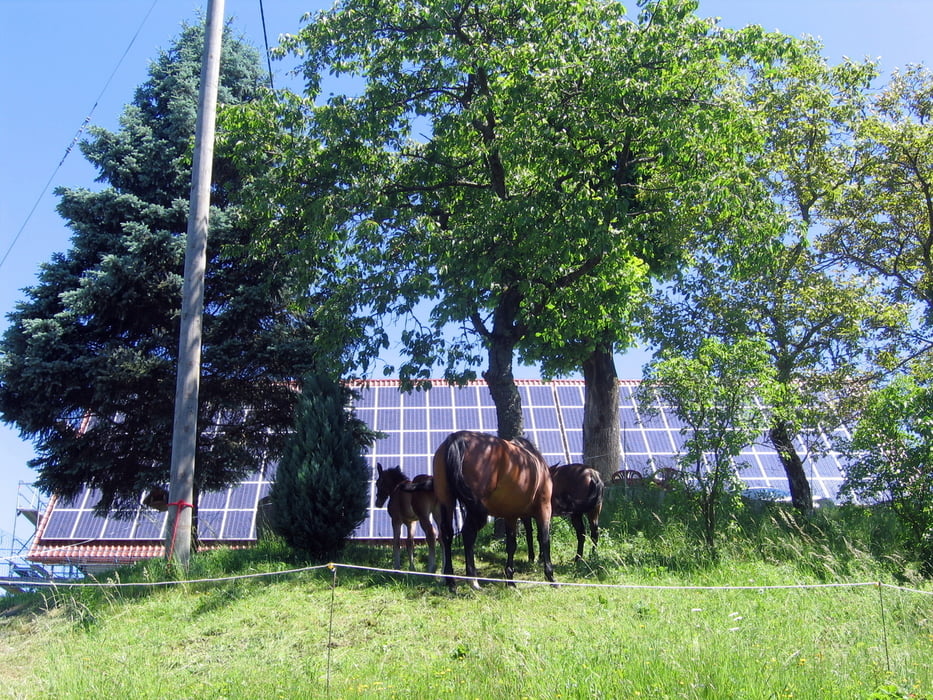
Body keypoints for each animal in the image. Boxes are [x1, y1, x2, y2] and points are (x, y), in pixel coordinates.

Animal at [432, 430, 552, 588]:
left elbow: (511, 544)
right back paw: (473, 580)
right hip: (474, 509)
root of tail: (457, 438)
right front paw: (550, 576)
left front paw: (510, 579)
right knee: (468, 534)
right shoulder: (544, 508)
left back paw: (451, 581)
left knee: (447, 535)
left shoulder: (511, 515)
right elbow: (544, 539)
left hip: (447, 501)